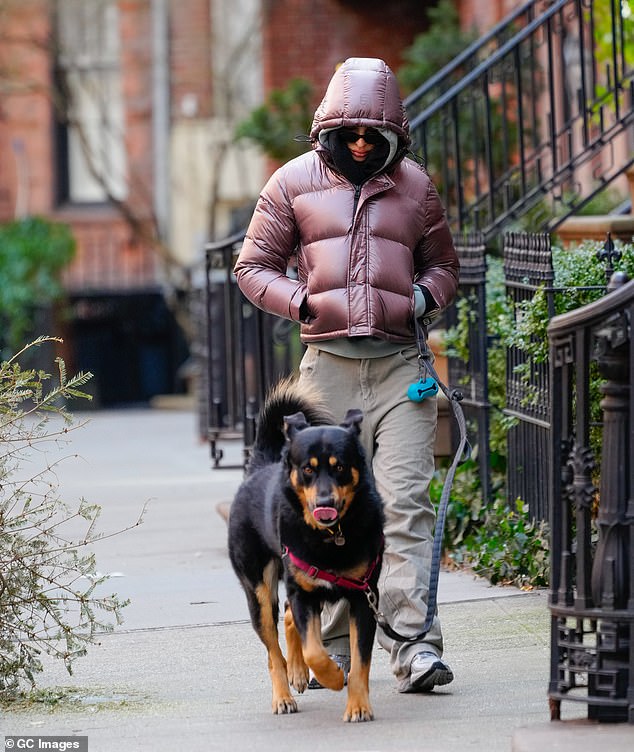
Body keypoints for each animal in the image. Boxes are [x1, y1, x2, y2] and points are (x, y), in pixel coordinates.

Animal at [228, 382, 386, 724]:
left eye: (340, 467)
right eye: (307, 470)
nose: (325, 501)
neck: (331, 536)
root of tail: (261, 466)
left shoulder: (363, 597)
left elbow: (360, 661)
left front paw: (358, 705)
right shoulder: (305, 594)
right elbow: (314, 650)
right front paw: (331, 677)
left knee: (288, 617)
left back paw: (297, 673)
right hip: (260, 593)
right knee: (274, 652)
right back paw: (284, 694)